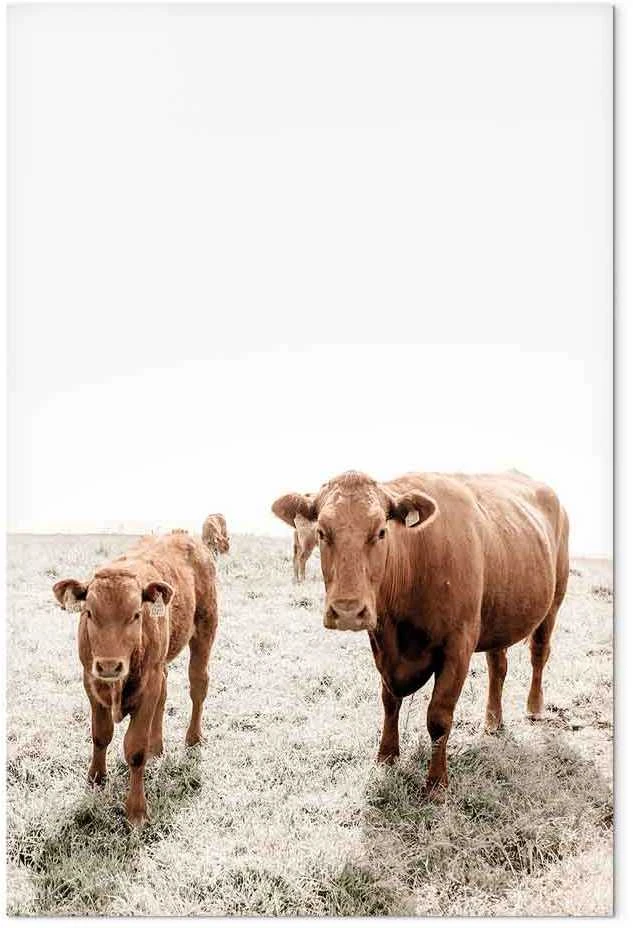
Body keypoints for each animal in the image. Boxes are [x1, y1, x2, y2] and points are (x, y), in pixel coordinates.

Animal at [52, 528, 218, 826]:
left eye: (136, 615)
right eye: (89, 613)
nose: (109, 666)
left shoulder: (148, 685)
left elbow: (135, 749)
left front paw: (137, 811)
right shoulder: (90, 681)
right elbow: (100, 735)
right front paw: (96, 778)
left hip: (205, 630)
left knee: (198, 685)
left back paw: (193, 738)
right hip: (161, 664)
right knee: (164, 696)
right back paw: (157, 746)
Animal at [272, 470, 569, 795]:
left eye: (381, 532)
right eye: (322, 532)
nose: (348, 610)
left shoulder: (458, 647)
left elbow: (438, 716)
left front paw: (437, 783)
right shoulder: (383, 648)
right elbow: (389, 702)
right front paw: (386, 757)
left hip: (554, 601)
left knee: (538, 654)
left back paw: (534, 707)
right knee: (498, 666)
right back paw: (493, 721)